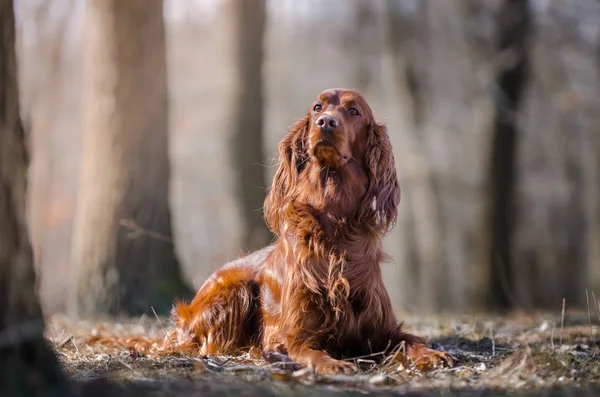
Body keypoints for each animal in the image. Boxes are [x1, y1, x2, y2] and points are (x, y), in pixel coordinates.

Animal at [171, 88, 452, 372]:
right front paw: (333, 364)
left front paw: (431, 353)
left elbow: (409, 339)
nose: (326, 122)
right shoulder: (296, 333)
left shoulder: (382, 330)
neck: (335, 220)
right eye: (318, 107)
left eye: (354, 111)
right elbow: (309, 351)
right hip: (234, 292)